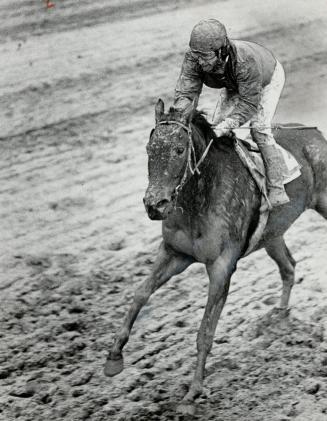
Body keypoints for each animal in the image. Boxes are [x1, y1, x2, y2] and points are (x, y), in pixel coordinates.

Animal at [104, 97, 327, 414]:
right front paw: (113, 357)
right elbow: (140, 293)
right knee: (289, 267)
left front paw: (192, 393)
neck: (200, 198)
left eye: (179, 149)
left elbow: (205, 331)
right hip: (272, 234)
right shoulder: (174, 253)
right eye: (149, 148)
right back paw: (279, 318)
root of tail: (316, 133)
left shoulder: (221, 267)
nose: (154, 204)